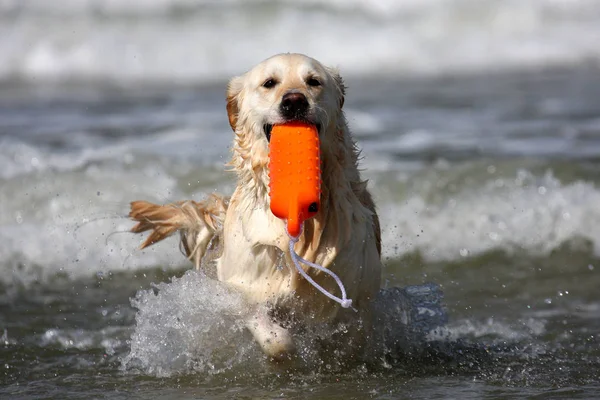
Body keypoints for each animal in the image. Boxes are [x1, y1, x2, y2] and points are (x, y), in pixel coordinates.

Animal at [132, 53, 384, 360]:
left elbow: (351, 336)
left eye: (313, 81)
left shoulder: (356, 292)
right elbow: (274, 337)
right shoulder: (242, 284)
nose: (294, 101)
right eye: (269, 83)